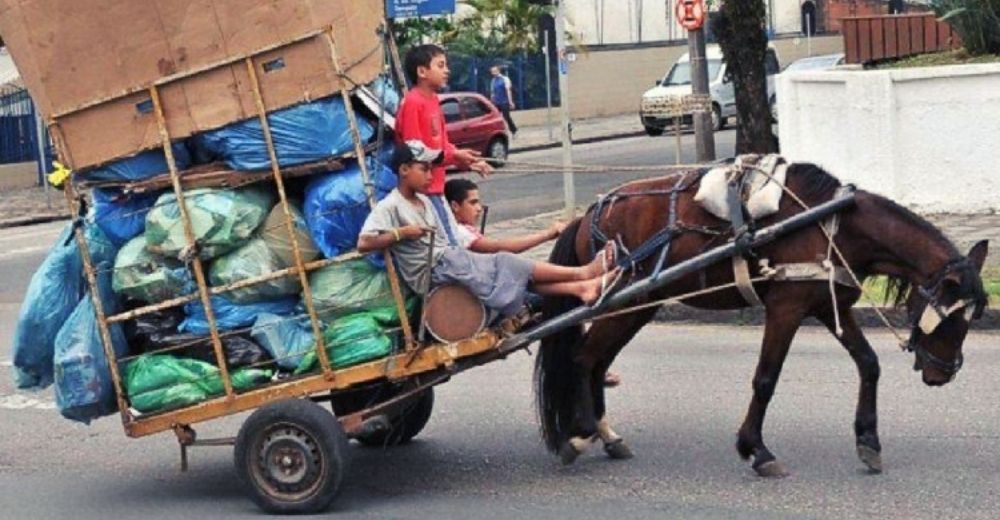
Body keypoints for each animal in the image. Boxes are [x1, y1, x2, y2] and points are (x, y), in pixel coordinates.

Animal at [536, 162, 988, 476]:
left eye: (973, 316)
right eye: (952, 319)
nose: (942, 374)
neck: (833, 224)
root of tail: (587, 215)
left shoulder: (830, 306)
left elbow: (869, 364)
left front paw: (869, 442)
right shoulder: (786, 308)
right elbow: (766, 379)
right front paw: (756, 450)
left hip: (638, 306)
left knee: (598, 363)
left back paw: (606, 436)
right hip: (622, 303)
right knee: (583, 359)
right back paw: (579, 435)